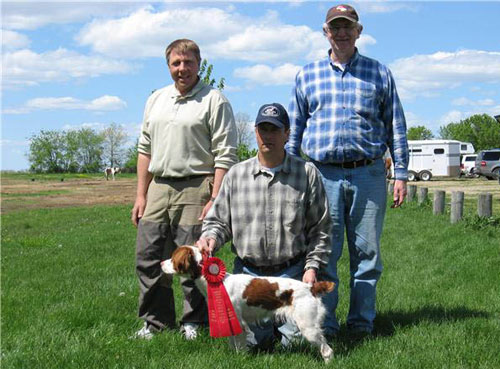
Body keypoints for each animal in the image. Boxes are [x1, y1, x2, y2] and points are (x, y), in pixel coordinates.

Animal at [162, 244, 334, 362]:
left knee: (327, 350)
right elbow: (232, 342)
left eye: (173, 258)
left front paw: (240, 358)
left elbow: (239, 345)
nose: (161, 264)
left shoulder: (238, 321)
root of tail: (311, 287)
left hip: (308, 326)